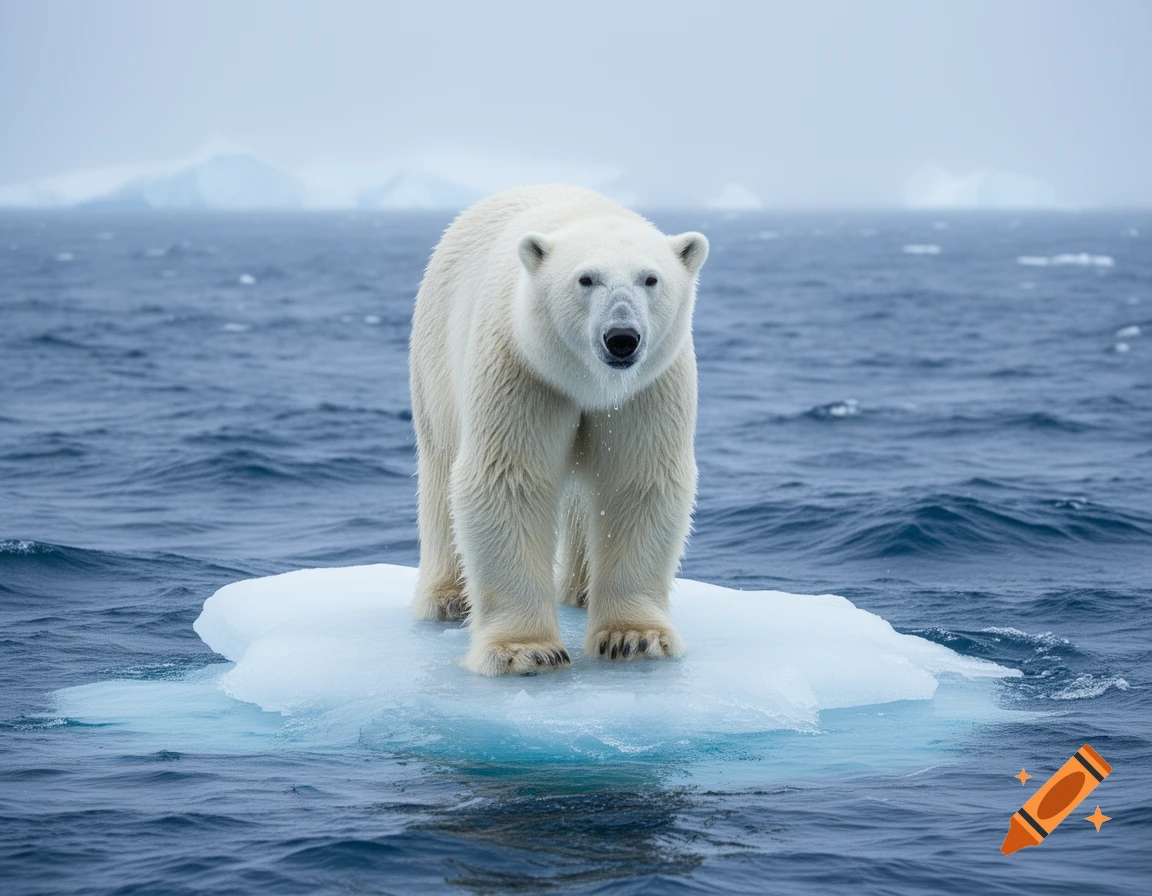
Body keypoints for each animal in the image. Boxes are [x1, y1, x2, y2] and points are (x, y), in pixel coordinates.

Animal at [408, 184, 708, 676]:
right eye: (586, 279)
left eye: (650, 279)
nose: (622, 338)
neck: (589, 382)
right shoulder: (522, 368)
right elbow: (509, 479)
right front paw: (526, 650)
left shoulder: (647, 389)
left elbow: (636, 481)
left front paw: (634, 637)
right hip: (436, 355)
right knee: (439, 466)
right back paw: (448, 598)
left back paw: (582, 591)